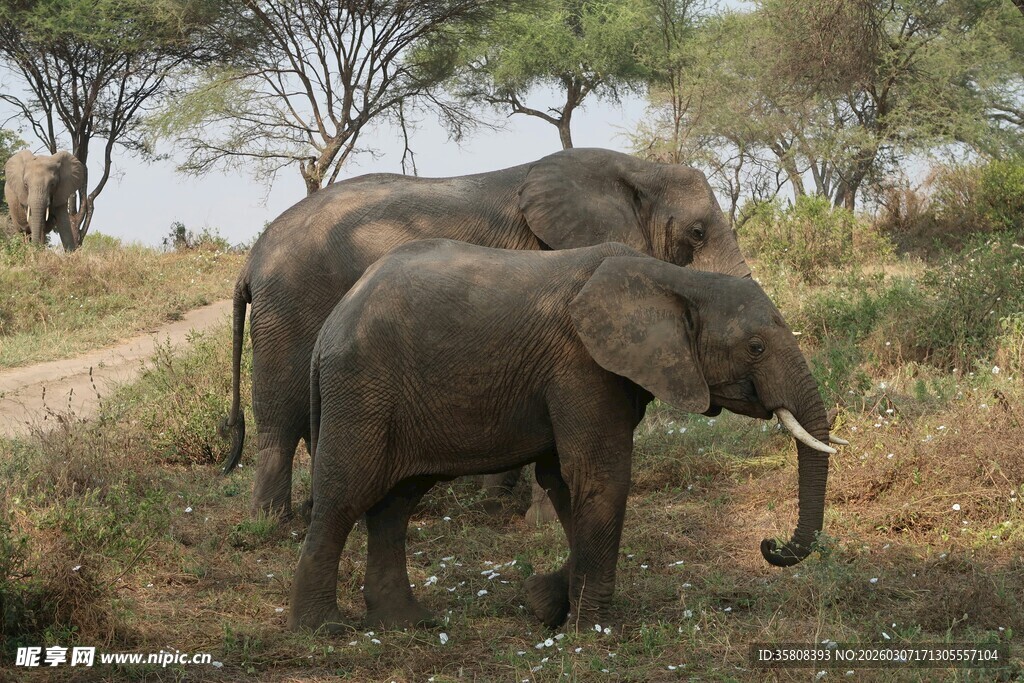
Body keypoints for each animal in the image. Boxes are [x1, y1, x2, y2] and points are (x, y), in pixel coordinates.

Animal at [221, 148, 752, 519]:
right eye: (698, 233)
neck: (637, 168)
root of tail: (252, 259)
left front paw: (498, 501)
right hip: (290, 304)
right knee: (281, 413)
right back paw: (274, 525)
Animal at [288, 239, 841, 633]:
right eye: (755, 347)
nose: (769, 544)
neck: (674, 279)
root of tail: (331, 324)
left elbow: (564, 479)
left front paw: (546, 604)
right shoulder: (582, 364)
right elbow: (600, 476)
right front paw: (593, 630)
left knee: (396, 502)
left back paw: (408, 623)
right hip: (361, 387)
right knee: (345, 493)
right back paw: (323, 629)